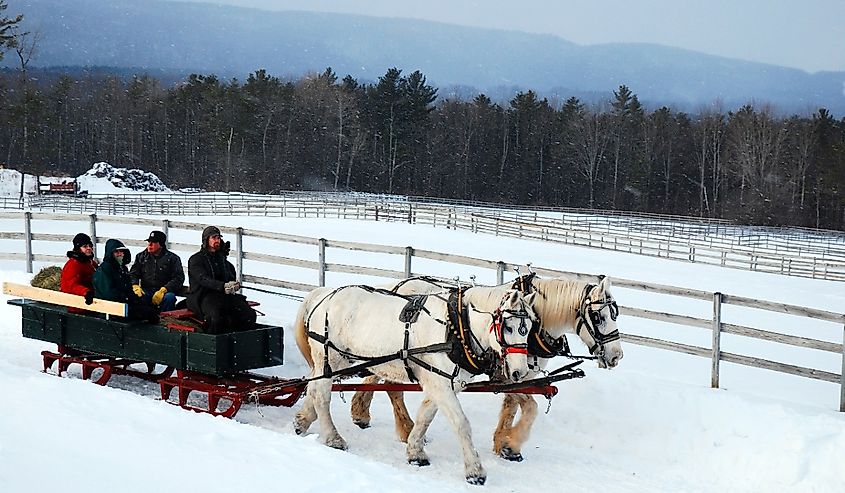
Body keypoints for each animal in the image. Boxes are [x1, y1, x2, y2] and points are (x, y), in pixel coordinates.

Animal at [294, 284, 536, 484]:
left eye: (530, 327)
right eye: (509, 327)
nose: (520, 372)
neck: (456, 327)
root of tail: (324, 295)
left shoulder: (444, 383)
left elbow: (425, 416)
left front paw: (415, 452)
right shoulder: (440, 384)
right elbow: (461, 423)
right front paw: (474, 471)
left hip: (334, 362)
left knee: (313, 387)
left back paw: (303, 420)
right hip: (331, 358)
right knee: (322, 395)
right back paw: (333, 438)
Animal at [348, 274, 620, 460]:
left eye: (615, 315)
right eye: (599, 317)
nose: (617, 356)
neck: (537, 321)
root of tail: (401, 285)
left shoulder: (520, 374)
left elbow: (513, 406)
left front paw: (504, 443)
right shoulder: (508, 374)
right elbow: (530, 407)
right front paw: (512, 442)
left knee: (380, 378)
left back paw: (364, 413)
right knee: (390, 385)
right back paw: (397, 427)